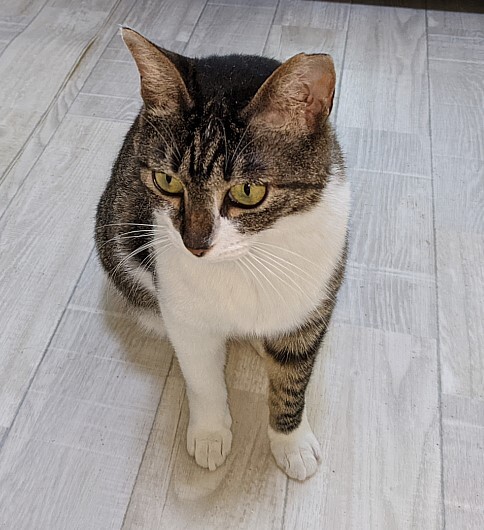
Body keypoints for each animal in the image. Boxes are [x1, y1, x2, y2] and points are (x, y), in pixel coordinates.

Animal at [95, 27, 349, 481]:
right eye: (166, 181)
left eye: (248, 191)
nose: (194, 245)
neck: (246, 259)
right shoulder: (186, 314)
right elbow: (203, 379)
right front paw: (210, 435)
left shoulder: (313, 303)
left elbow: (292, 380)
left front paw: (292, 443)